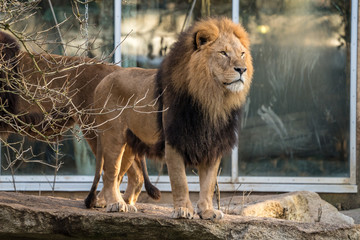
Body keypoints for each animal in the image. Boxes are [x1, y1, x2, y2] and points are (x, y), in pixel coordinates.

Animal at [85, 16, 253, 219]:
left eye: (242, 54)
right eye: (223, 53)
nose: (242, 69)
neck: (212, 99)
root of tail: (102, 81)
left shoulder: (212, 145)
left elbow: (208, 183)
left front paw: (207, 211)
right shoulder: (174, 141)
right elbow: (181, 181)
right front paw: (183, 210)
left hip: (130, 144)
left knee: (125, 175)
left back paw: (124, 204)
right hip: (113, 138)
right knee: (110, 173)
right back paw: (115, 204)